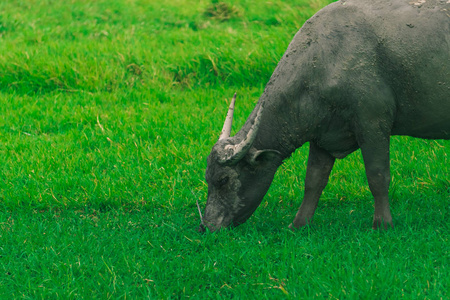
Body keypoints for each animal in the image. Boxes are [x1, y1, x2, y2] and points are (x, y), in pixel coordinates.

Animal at [198, 0, 450, 232]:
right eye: (208, 178)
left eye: (224, 180)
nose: (206, 227)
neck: (325, 60)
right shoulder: (322, 136)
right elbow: (313, 181)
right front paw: (298, 224)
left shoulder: (373, 125)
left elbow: (378, 176)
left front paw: (382, 224)